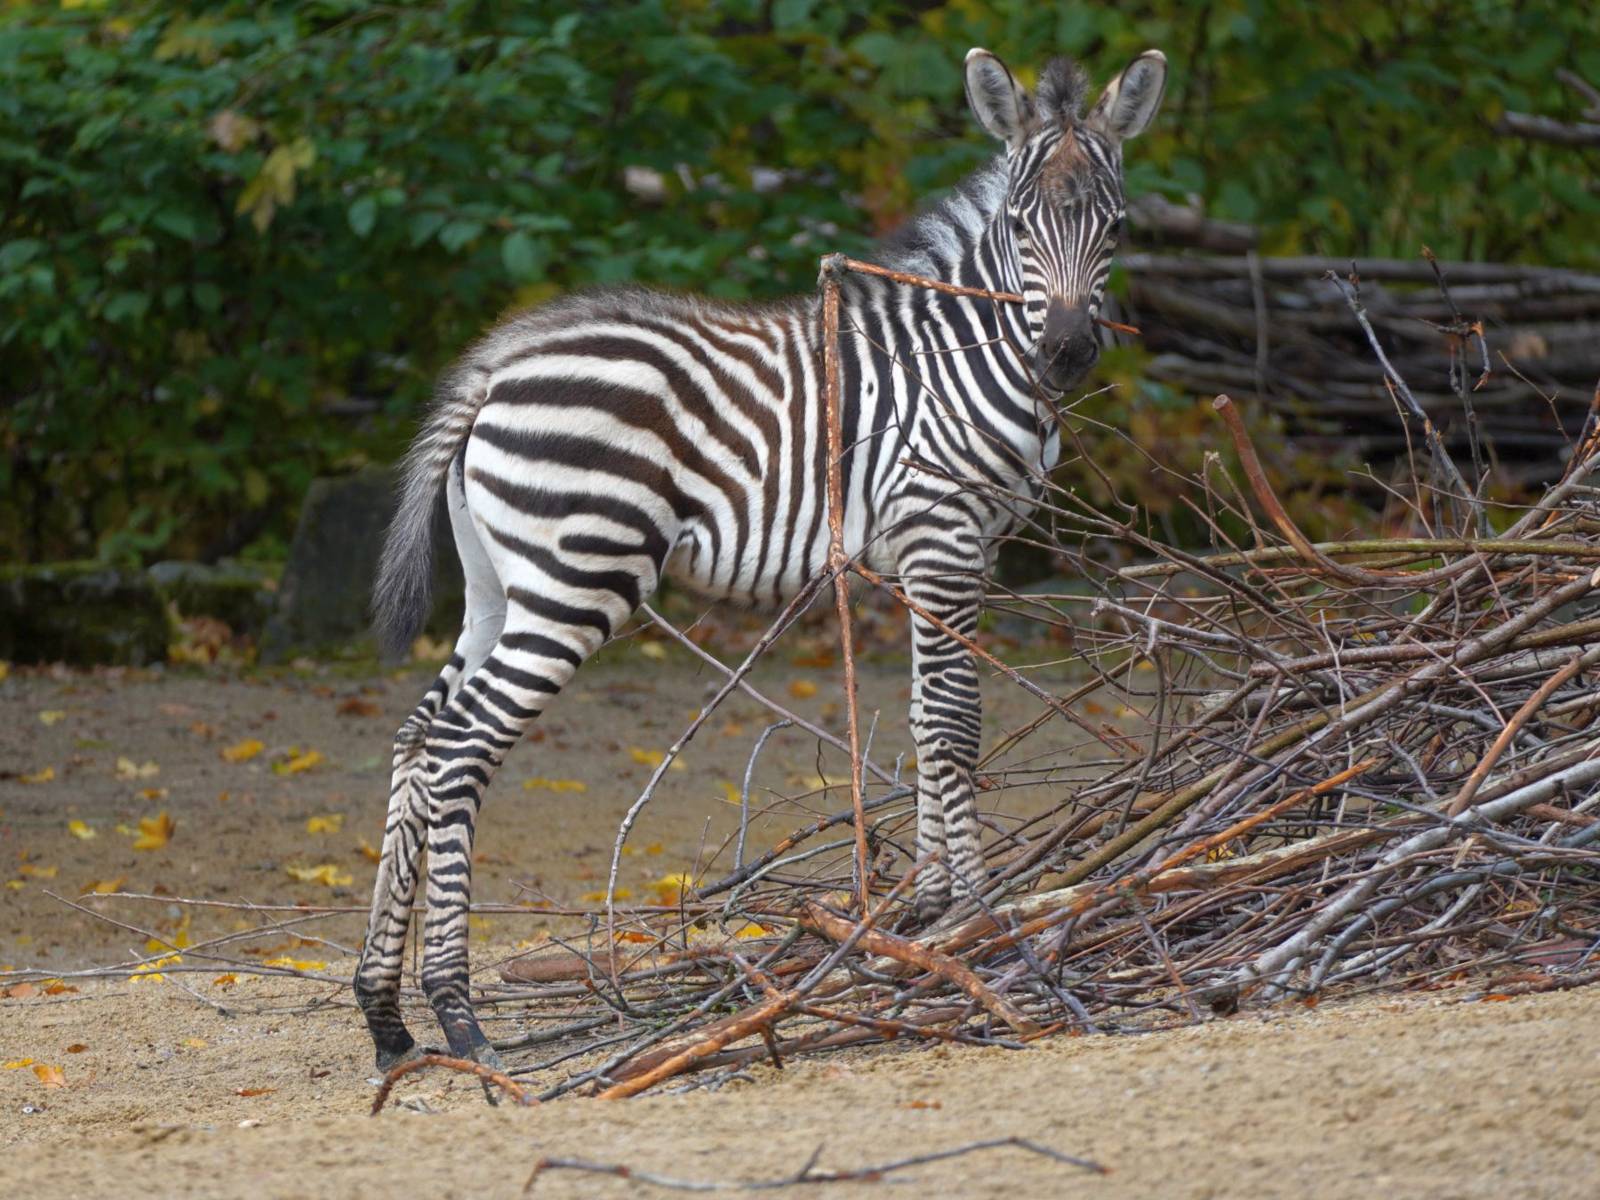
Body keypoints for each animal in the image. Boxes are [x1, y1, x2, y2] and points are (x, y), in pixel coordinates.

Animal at [354, 45, 1167, 1072]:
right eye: (1020, 224)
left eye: (1117, 226)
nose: (1066, 353)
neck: (966, 354)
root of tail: (494, 371)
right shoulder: (944, 538)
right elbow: (955, 724)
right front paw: (975, 916)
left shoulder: (941, 552)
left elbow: (919, 715)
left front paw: (927, 909)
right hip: (578, 580)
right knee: (459, 749)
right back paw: (457, 1013)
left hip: (499, 587)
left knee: (416, 741)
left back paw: (386, 1019)